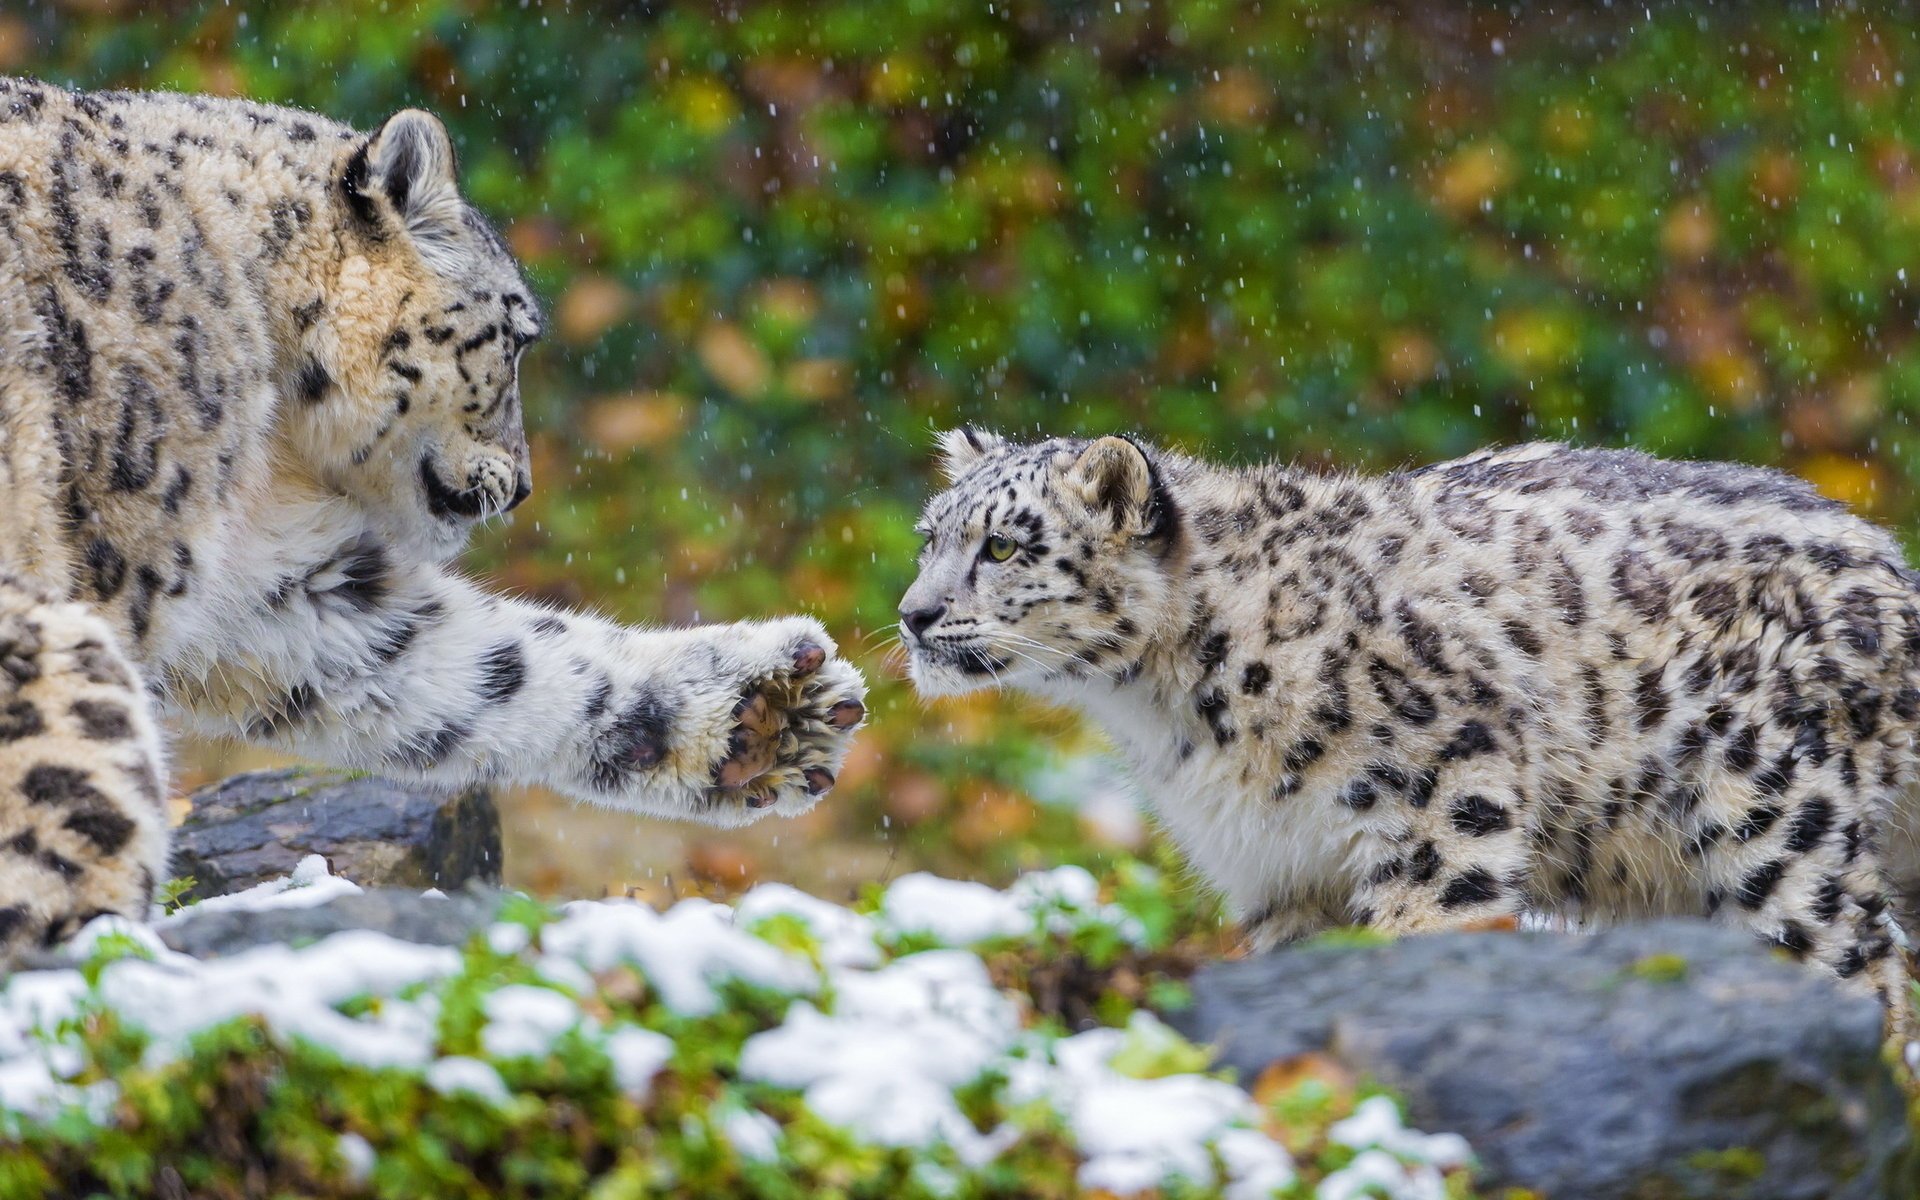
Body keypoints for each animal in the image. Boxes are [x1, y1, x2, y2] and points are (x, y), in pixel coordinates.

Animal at [0, 78, 866, 957]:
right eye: (516, 339)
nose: (524, 486)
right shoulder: (136, 556)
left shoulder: (268, 579)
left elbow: (484, 663)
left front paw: (768, 712)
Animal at [901, 429, 1920, 1020]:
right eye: (930, 535)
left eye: (1002, 545)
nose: (912, 613)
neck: (1170, 713)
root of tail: (1894, 566)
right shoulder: (1279, 869)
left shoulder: (1442, 805)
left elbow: (1421, 935)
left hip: (1776, 824)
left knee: (1861, 970)